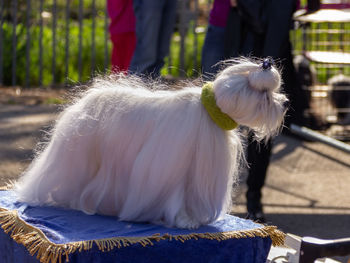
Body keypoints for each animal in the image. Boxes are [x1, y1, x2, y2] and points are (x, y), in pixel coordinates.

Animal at [13, 58, 288, 230]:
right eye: (265, 95)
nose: (284, 103)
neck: (210, 111)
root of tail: (91, 98)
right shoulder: (173, 166)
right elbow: (175, 197)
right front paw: (183, 221)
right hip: (75, 156)